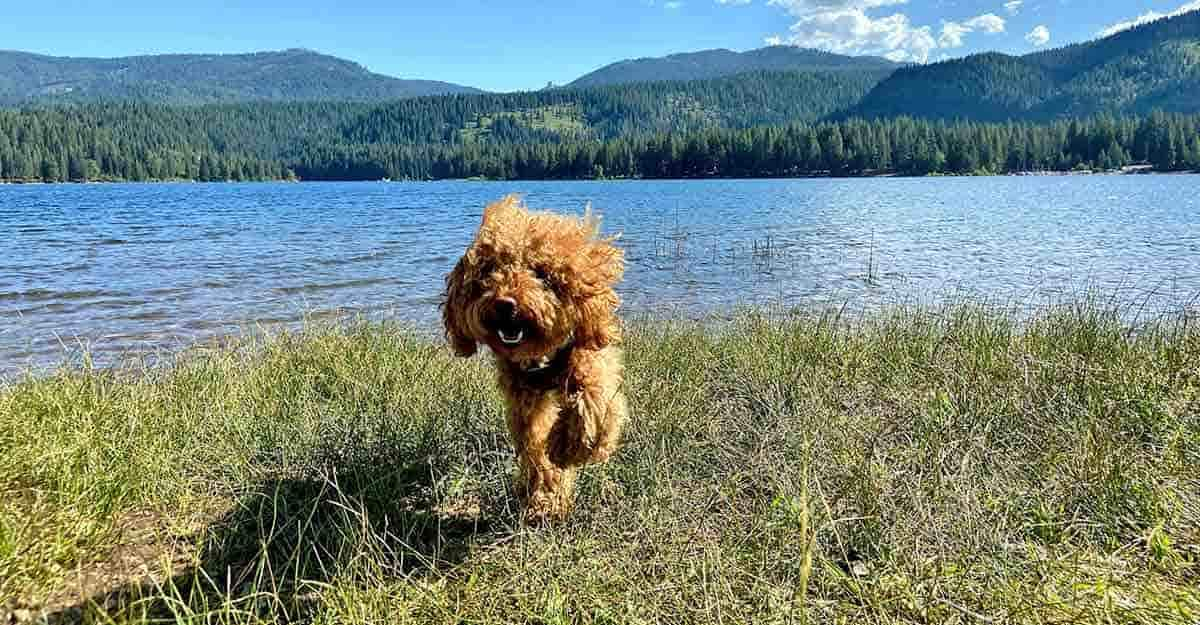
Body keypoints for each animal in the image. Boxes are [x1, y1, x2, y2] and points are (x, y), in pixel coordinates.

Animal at [441, 194, 628, 520]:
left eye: (540, 273)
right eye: (489, 271)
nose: (504, 304)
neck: (541, 359)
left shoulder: (591, 362)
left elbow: (594, 406)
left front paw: (567, 446)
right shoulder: (525, 399)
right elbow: (535, 447)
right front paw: (544, 497)